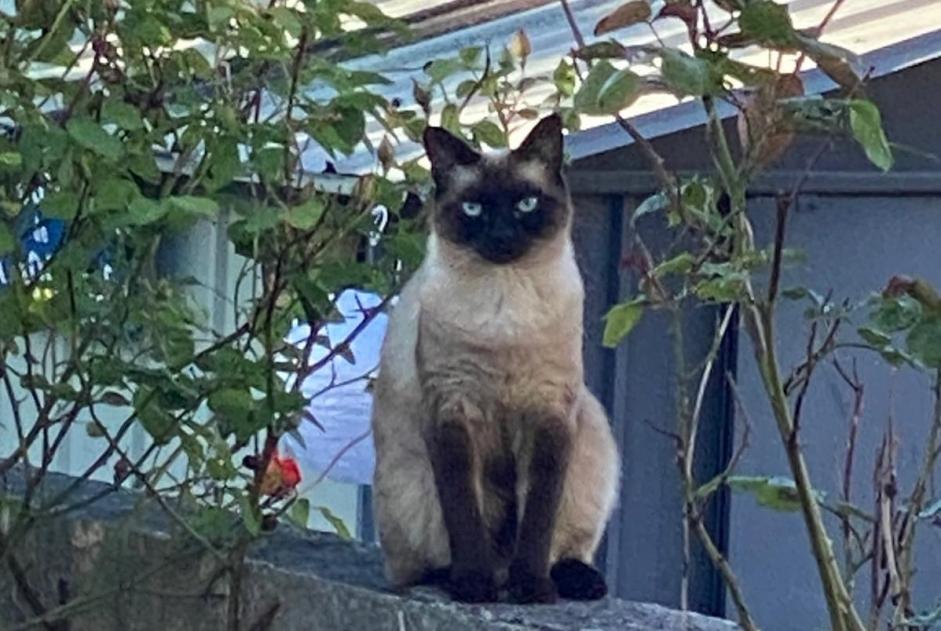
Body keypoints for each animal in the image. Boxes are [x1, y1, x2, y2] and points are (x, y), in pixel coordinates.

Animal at [370, 115, 620, 608]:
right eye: (473, 209)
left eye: (525, 204)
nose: (502, 237)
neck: (505, 311)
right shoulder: (453, 413)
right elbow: (465, 514)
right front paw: (474, 585)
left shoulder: (549, 414)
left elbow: (538, 518)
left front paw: (533, 590)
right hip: (409, 480)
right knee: (416, 567)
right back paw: (461, 579)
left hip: (593, 434)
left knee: (564, 546)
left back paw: (571, 582)